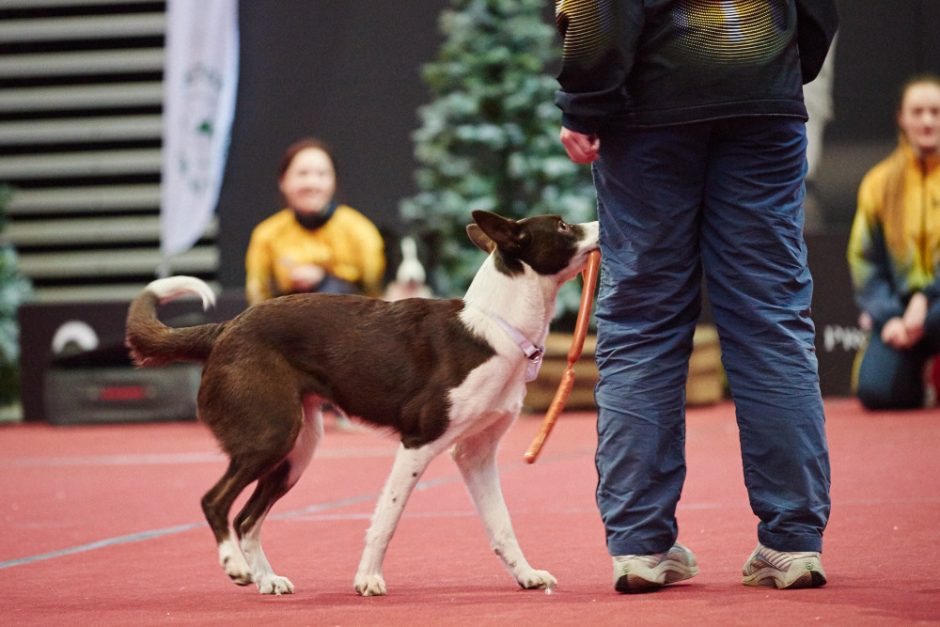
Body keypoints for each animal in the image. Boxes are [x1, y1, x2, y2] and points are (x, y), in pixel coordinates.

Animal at [125, 210, 600, 592]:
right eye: (562, 225)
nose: (601, 222)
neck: (497, 326)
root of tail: (225, 329)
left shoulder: (475, 453)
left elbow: (502, 524)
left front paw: (527, 575)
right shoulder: (417, 443)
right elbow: (386, 519)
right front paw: (367, 579)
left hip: (297, 450)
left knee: (246, 518)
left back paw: (266, 580)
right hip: (270, 437)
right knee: (215, 501)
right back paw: (235, 566)